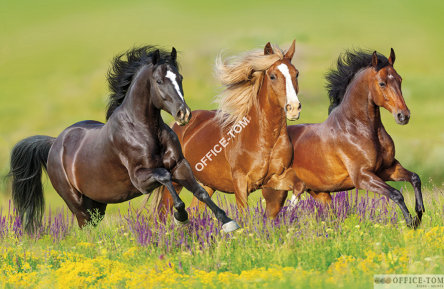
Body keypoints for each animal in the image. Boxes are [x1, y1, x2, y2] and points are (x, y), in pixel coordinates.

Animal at [6, 46, 239, 233]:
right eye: (159, 80)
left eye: (180, 77)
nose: (184, 114)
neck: (145, 130)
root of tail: (54, 143)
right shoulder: (141, 178)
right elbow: (165, 177)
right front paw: (180, 217)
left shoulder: (180, 165)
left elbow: (201, 192)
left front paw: (228, 222)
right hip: (77, 204)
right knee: (85, 229)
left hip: (97, 204)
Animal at [153, 40, 302, 212]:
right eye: (272, 76)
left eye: (296, 74)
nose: (293, 108)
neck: (265, 140)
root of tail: (177, 126)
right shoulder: (241, 183)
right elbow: (244, 213)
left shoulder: (276, 178)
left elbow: (299, 185)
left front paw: (289, 212)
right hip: (176, 181)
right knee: (164, 211)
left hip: (207, 184)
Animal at [262, 47, 424, 227]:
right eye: (382, 83)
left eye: (399, 79)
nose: (403, 116)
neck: (356, 128)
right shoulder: (362, 177)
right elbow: (396, 194)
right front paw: (411, 222)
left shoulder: (387, 169)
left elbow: (415, 178)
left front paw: (419, 213)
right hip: (276, 193)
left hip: (320, 193)